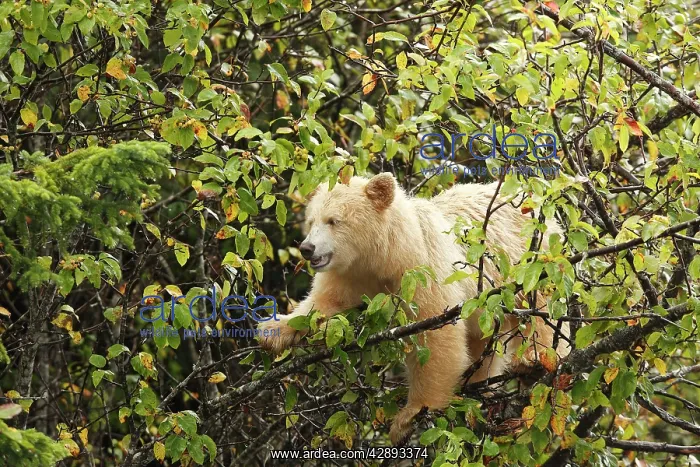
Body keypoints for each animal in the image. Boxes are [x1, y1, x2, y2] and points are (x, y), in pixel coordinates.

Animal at [258, 173, 570, 444]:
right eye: (311, 221)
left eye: (334, 220)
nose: (307, 248)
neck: (386, 253)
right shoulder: (349, 274)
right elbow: (322, 302)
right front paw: (272, 329)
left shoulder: (421, 270)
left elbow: (435, 335)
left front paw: (408, 417)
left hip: (533, 260)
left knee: (541, 310)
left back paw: (533, 359)